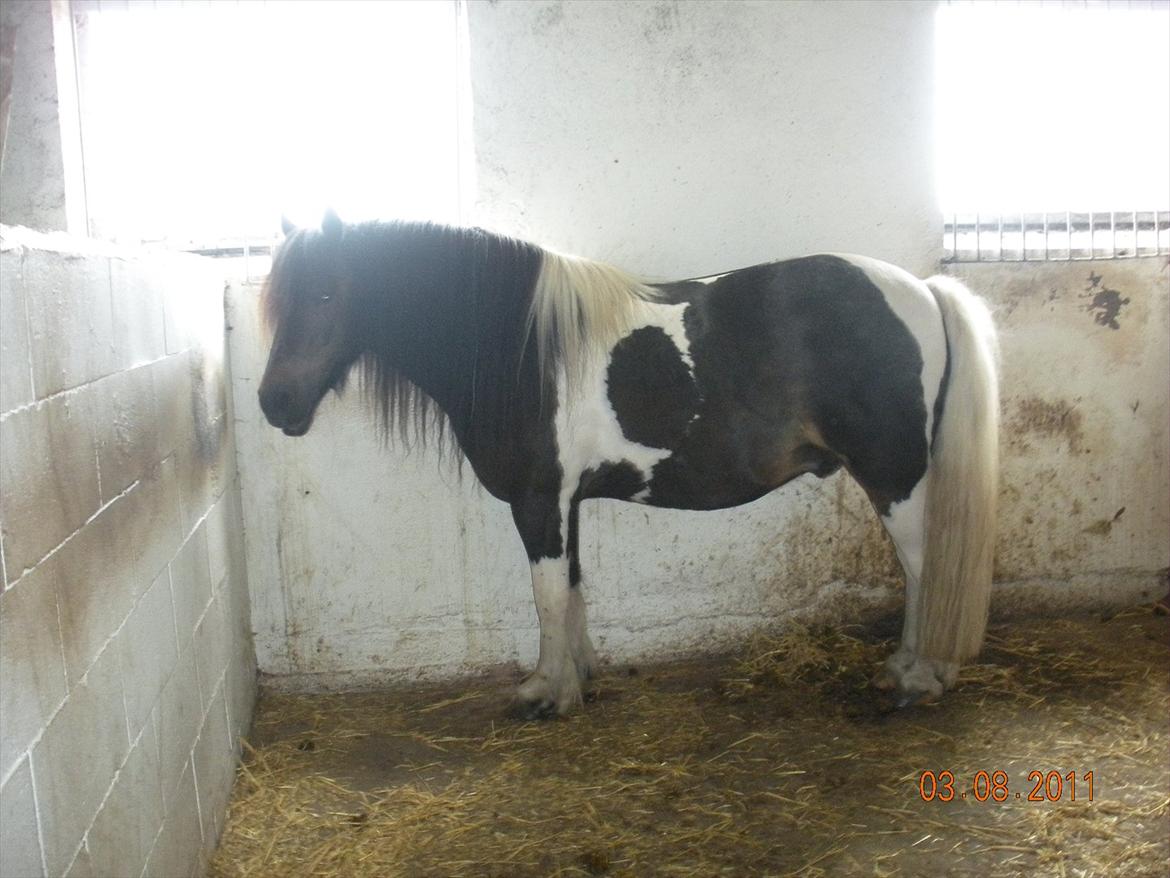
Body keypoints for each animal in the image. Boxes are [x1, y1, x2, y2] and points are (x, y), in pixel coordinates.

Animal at [258, 215, 996, 721]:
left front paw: (546, 693)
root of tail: (923, 291)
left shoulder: (539, 500)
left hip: (897, 478)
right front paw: (577, 676)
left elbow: (547, 594)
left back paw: (920, 675)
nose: (274, 402)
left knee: (925, 567)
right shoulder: (567, 503)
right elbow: (573, 587)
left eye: (325, 295)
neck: (521, 349)